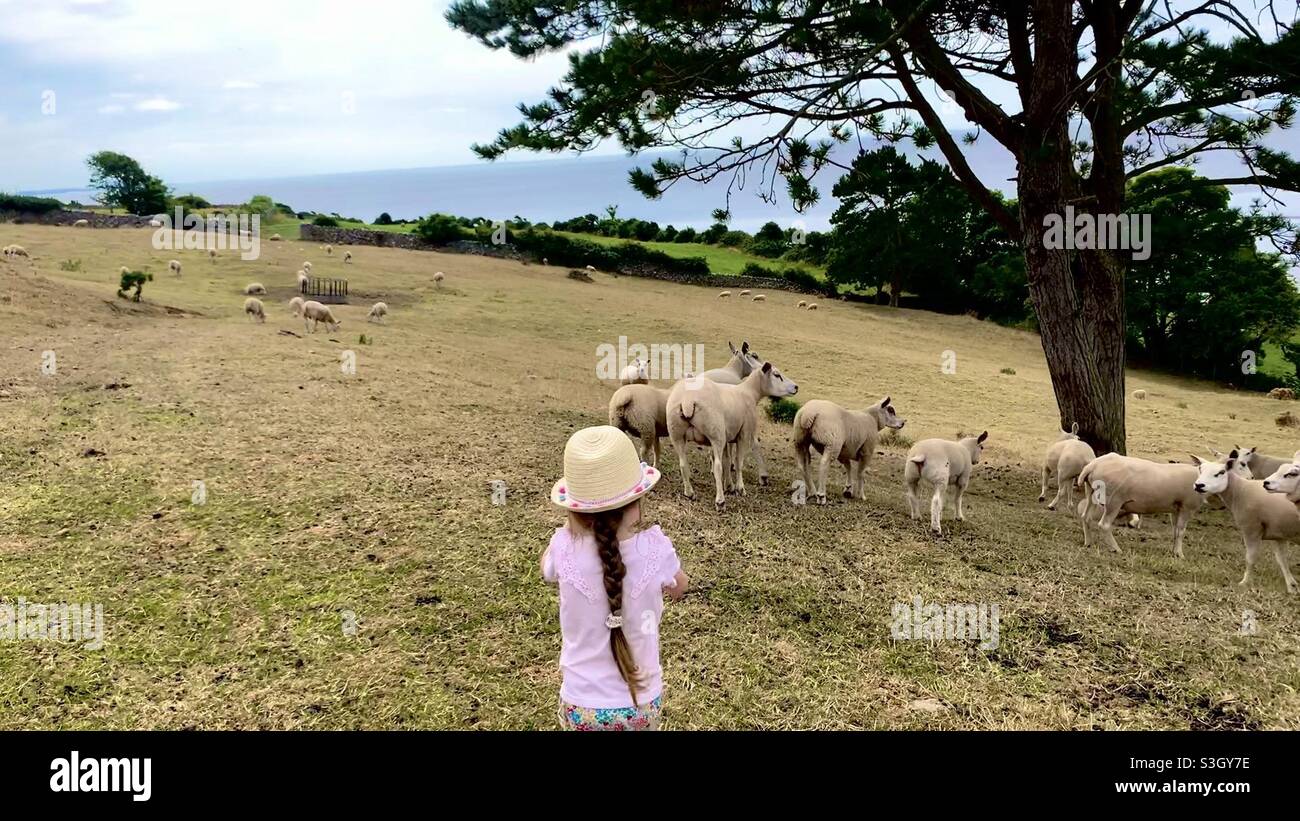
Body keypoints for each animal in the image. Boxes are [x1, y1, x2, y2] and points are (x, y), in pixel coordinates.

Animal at [670, 361, 800, 509]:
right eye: (777, 375)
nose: (796, 387)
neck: (749, 393)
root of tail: (688, 401)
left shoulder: (728, 437)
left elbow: (727, 460)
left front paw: (729, 486)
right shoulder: (744, 433)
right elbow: (738, 462)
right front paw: (740, 488)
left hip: (677, 435)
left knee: (683, 464)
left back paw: (689, 493)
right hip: (716, 435)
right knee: (717, 467)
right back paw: (720, 501)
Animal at [1076, 452, 1206, 561]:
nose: (1201, 485)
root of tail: (1092, 466)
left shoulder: (1176, 509)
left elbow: (1175, 530)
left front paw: (1174, 552)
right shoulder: (1187, 507)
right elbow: (1180, 531)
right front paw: (1180, 554)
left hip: (1091, 492)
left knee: (1086, 517)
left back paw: (1088, 543)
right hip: (1114, 500)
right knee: (1104, 525)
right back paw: (1116, 549)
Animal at [1196, 452, 1300, 592]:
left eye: (1221, 472)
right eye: (1200, 470)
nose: (1199, 485)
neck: (1240, 491)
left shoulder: (1251, 528)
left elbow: (1250, 558)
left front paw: (1244, 583)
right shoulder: (1278, 534)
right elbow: (1282, 560)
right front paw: (1291, 587)